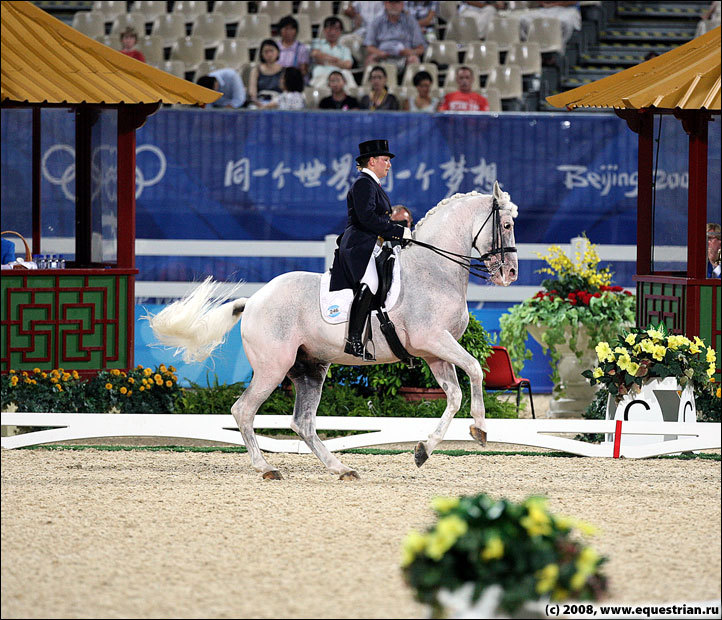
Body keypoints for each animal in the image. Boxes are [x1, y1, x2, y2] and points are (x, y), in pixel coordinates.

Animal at [148, 182, 516, 478]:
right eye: (507, 224)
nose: (510, 273)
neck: (434, 270)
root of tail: (253, 301)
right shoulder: (434, 339)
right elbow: (474, 369)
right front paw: (480, 429)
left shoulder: (433, 352)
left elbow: (453, 396)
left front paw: (423, 451)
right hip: (272, 367)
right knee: (244, 411)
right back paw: (266, 467)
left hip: (310, 369)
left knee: (302, 423)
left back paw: (341, 468)